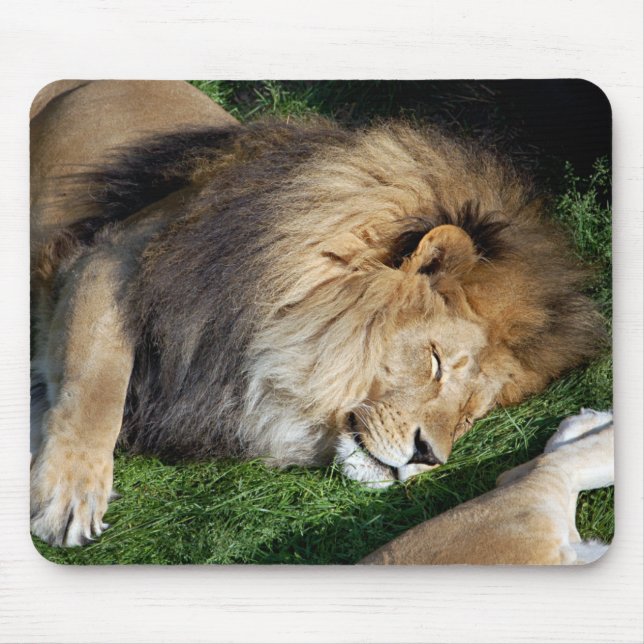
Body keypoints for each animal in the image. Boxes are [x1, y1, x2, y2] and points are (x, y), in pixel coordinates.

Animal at [30, 81, 606, 547]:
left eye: (469, 415)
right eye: (436, 361)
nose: (428, 457)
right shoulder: (109, 258)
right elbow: (97, 383)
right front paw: (69, 494)